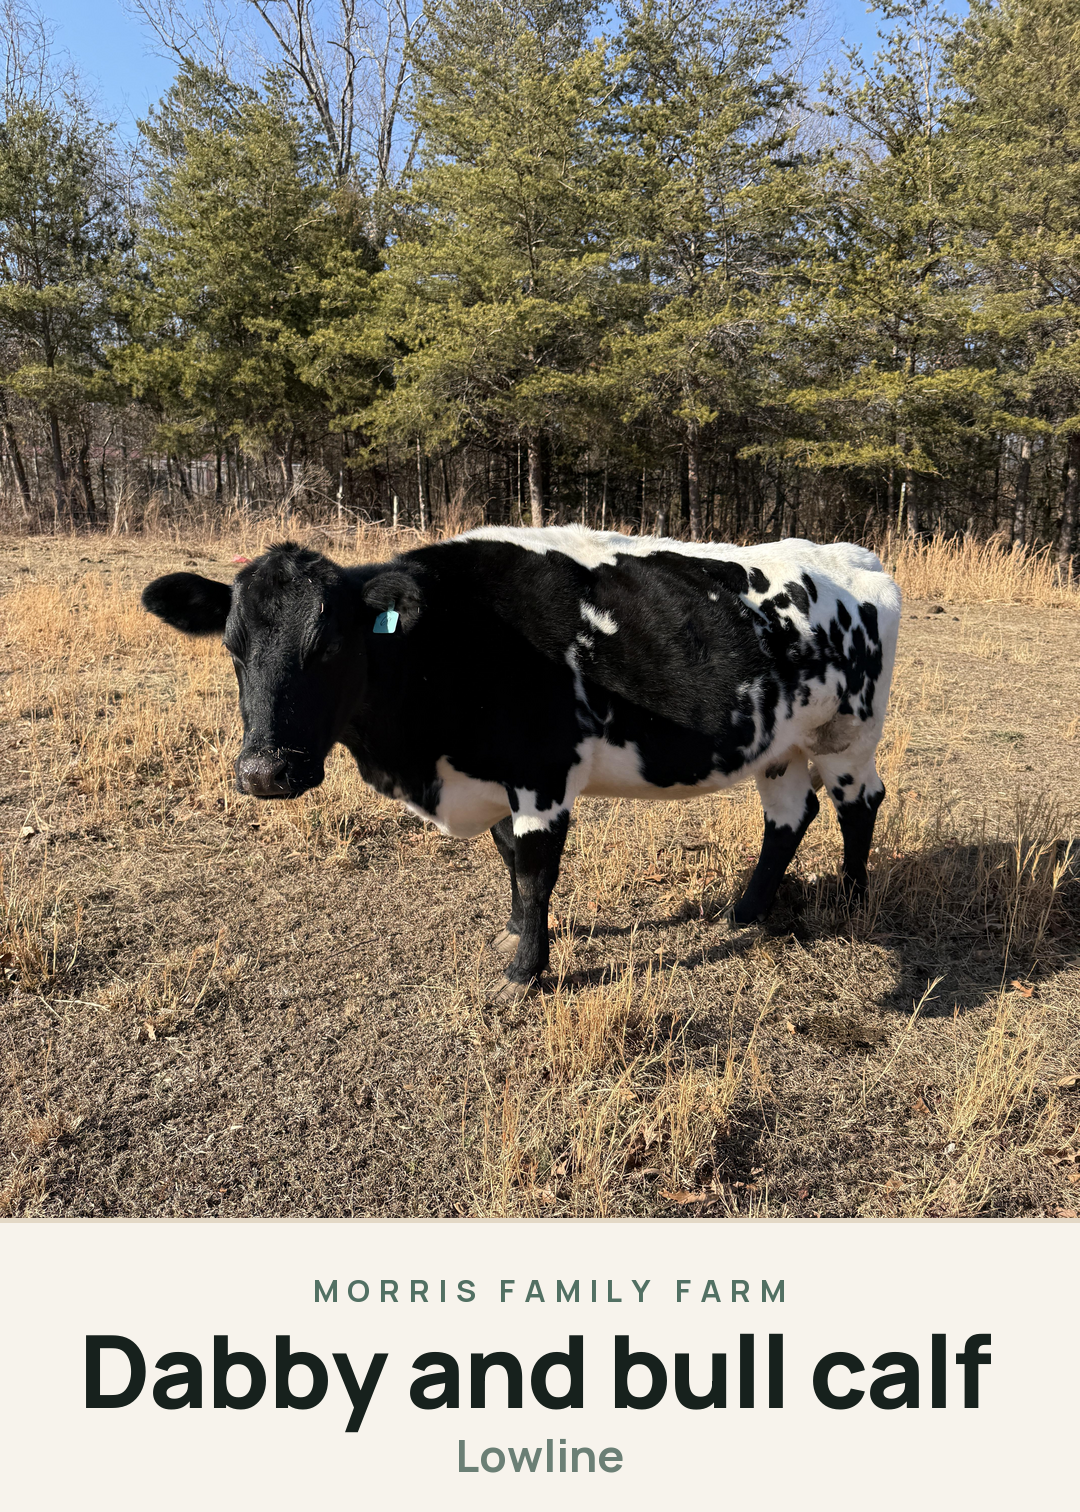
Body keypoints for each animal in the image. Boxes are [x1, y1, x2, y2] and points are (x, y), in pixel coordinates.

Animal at [142, 526, 901, 1001]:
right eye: (233, 647)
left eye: (328, 646)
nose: (265, 773)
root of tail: (852, 556)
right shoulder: (494, 780)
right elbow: (508, 855)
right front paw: (515, 932)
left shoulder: (543, 776)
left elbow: (536, 872)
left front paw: (524, 972)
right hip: (780, 743)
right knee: (790, 816)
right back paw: (746, 912)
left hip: (848, 734)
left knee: (859, 803)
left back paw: (852, 901)